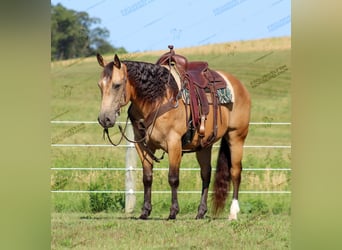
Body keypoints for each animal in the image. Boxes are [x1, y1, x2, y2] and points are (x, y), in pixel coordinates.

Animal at [96, 46, 251, 220]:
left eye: (116, 85)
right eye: (100, 86)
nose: (104, 119)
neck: (158, 98)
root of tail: (239, 85)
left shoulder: (174, 143)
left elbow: (173, 178)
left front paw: (173, 211)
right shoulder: (142, 146)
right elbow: (147, 178)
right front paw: (145, 211)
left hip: (236, 137)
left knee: (235, 172)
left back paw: (233, 212)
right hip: (204, 146)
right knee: (206, 174)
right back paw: (201, 212)